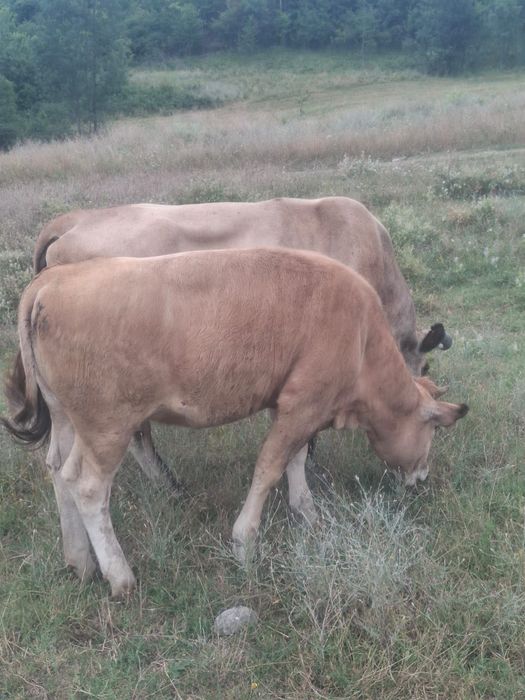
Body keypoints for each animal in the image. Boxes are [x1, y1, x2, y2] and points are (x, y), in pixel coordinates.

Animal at [2, 248, 468, 598]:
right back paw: (119, 575)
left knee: (59, 471)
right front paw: (245, 541)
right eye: (431, 430)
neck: (362, 337)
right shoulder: (303, 403)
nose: (422, 476)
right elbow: (270, 468)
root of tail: (51, 280)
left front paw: (307, 512)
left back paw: (79, 560)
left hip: (69, 421)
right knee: (88, 487)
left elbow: (296, 461)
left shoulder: (295, 406)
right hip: (107, 426)